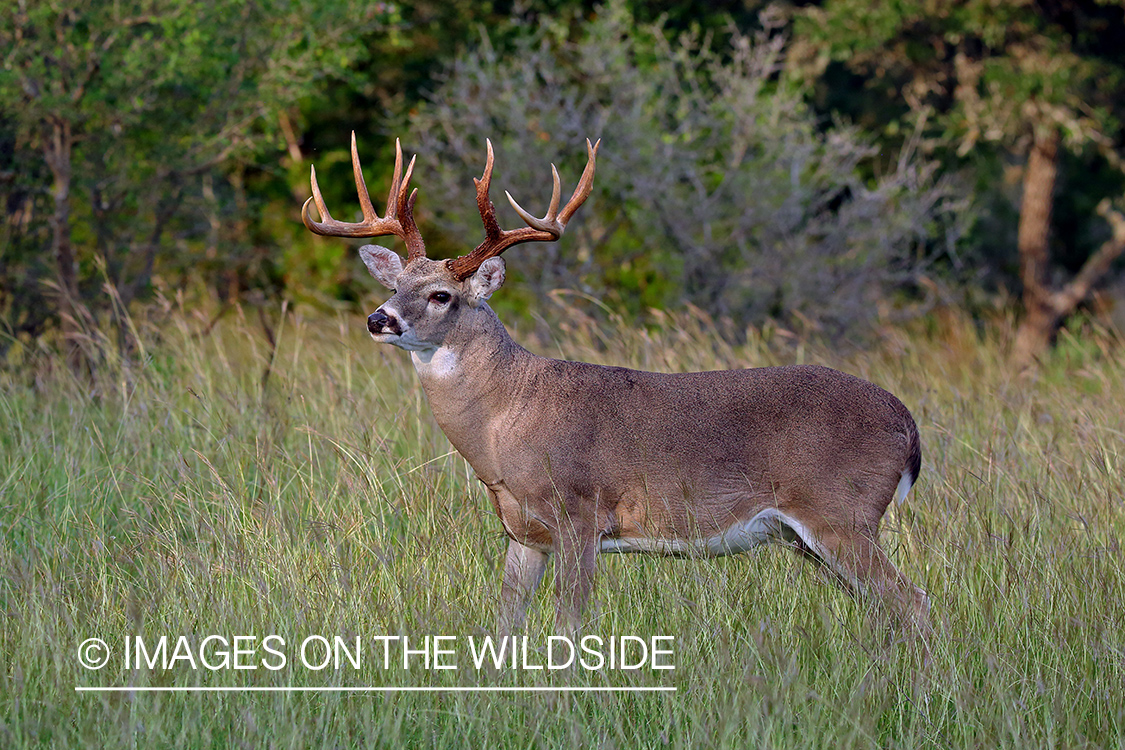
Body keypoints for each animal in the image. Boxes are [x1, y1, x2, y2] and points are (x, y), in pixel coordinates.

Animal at [301, 134, 931, 647]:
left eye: (441, 295)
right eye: (397, 285)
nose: (378, 319)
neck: (505, 424)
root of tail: (907, 424)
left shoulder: (580, 512)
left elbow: (567, 628)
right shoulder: (522, 532)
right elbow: (506, 623)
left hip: (841, 512)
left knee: (914, 602)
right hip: (812, 535)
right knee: (887, 610)